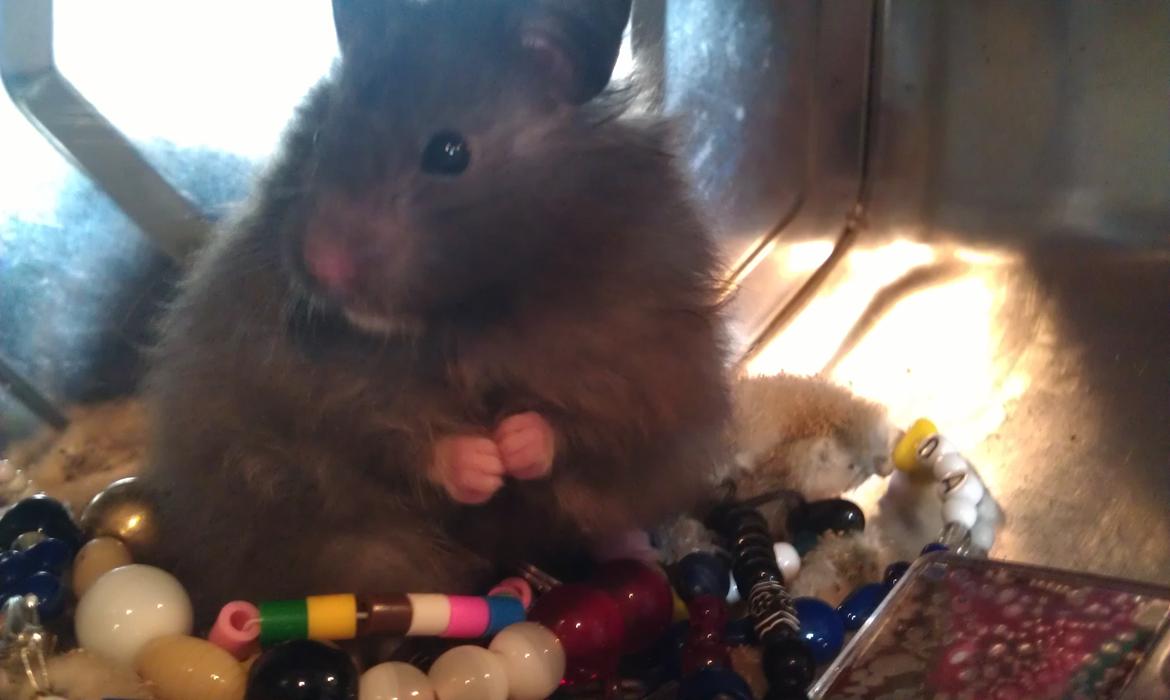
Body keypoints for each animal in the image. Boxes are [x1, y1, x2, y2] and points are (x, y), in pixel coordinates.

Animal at [137, 0, 730, 625]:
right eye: (320, 136)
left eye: (449, 152)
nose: (322, 266)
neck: (470, 314)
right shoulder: (310, 390)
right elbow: (386, 435)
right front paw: (484, 464)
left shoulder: (643, 367)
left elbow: (577, 425)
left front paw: (512, 447)